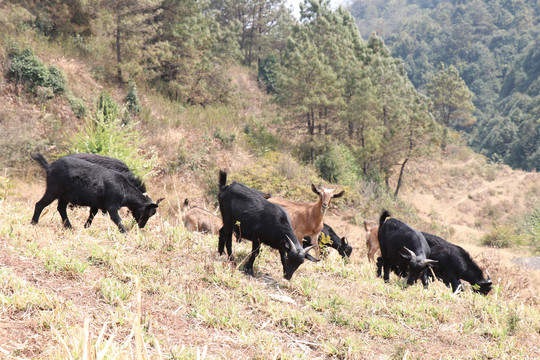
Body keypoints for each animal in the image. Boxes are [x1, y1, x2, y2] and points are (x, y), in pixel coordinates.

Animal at [30, 153, 161, 233]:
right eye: (148, 213)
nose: (141, 226)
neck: (124, 187)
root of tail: (49, 166)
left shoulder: (97, 204)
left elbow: (92, 215)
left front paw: (86, 227)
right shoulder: (112, 206)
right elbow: (117, 219)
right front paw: (125, 233)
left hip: (64, 196)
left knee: (61, 208)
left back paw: (70, 227)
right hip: (53, 191)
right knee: (39, 204)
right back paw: (34, 223)